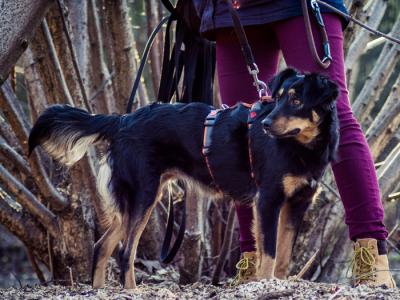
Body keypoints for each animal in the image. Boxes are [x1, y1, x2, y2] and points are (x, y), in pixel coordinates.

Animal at [29, 68, 340, 288]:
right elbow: (270, 254)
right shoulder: (268, 201)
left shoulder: (297, 204)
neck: (303, 148)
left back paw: (100, 290)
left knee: (102, 245)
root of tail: (122, 120)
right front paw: (264, 285)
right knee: (126, 252)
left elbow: (284, 257)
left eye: (296, 100)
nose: (264, 124)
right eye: (277, 99)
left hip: (133, 201)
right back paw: (132, 291)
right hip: (144, 195)